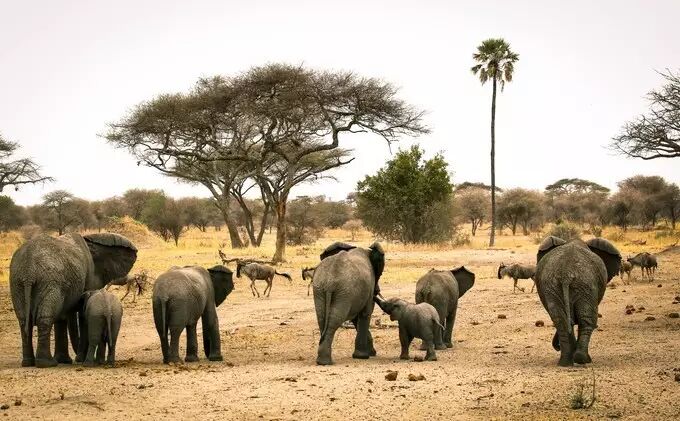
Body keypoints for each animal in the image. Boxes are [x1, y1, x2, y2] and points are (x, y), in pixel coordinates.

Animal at [9, 232, 137, 368]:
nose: (78, 358)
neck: (91, 241)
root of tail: (29, 272)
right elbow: (81, 317)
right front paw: (74, 359)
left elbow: (62, 318)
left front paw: (65, 360)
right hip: (48, 281)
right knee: (44, 319)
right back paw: (47, 363)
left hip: (18, 283)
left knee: (24, 321)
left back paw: (29, 363)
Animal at [535, 236, 621, 367]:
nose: (557, 347)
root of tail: (566, 274)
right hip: (586, 285)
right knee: (587, 320)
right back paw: (583, 359)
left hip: (553, 286)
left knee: (561, 321)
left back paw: (565, 363)